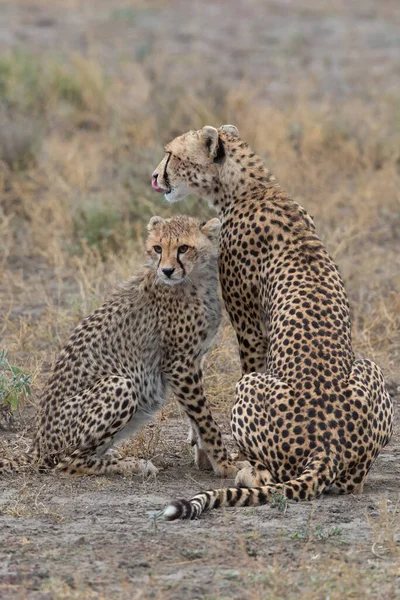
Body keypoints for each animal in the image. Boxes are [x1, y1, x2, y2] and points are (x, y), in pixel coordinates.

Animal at [0, 216, 238, 478]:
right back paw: (132, 464)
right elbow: (205, 418)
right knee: (68, 463)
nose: (166, 270)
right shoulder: (180, 364)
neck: (196, 280)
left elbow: (196, 417)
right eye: (158, 248)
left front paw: (205, 456)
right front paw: (226, 465)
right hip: (120, 384)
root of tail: (38, 445)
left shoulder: (194, 360)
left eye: (183, 248)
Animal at [152, 124, 392, 516]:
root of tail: (328, 446)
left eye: (172, 154)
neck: (253, 187)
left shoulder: (249, 328)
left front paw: (220, 456)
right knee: (352, 483)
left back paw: (247, 471)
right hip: (370, 369)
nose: (156, 177)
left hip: (249, 388)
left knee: (270, 474)